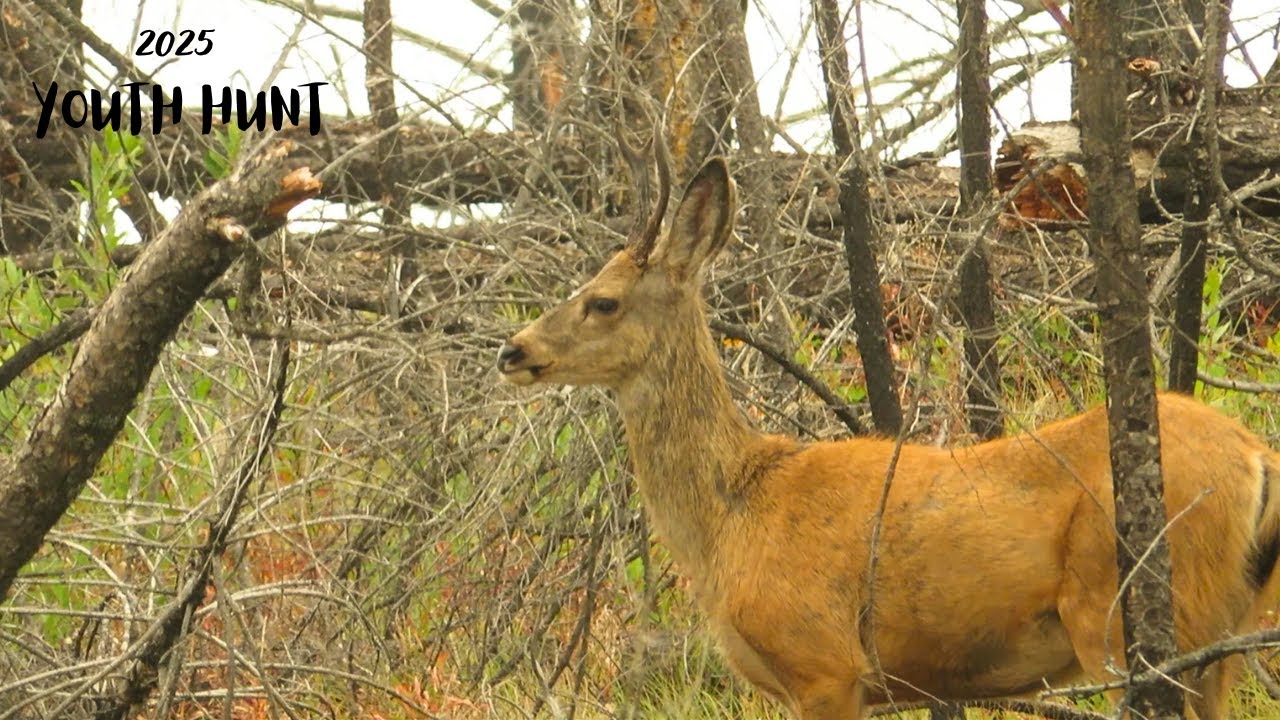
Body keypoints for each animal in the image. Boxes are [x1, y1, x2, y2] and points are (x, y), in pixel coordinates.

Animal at [495, 147, 1280, 720]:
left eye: (603, 301)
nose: (513, 349)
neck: (732, 518)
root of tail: (1255, 457)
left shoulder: (823, 660)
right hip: (1223, 630)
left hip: (1132, 616)